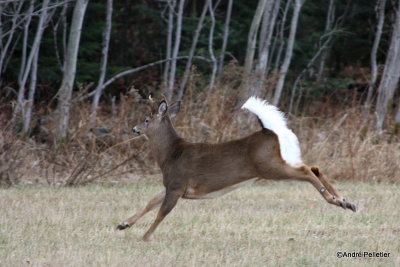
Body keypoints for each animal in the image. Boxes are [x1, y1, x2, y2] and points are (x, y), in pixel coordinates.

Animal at [117, 97, 358, 243]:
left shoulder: (177, 185)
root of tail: (270, 131)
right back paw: (346, 201)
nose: (134, 128)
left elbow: (161, 212)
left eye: (146, 119)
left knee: (307, 170)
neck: (170, 155)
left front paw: (144, 237)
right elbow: (151, 202)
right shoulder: (172, 186)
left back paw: (334, 200)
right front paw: (123, 224)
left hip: (269, 166)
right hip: (279, 163)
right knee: (314, 167)